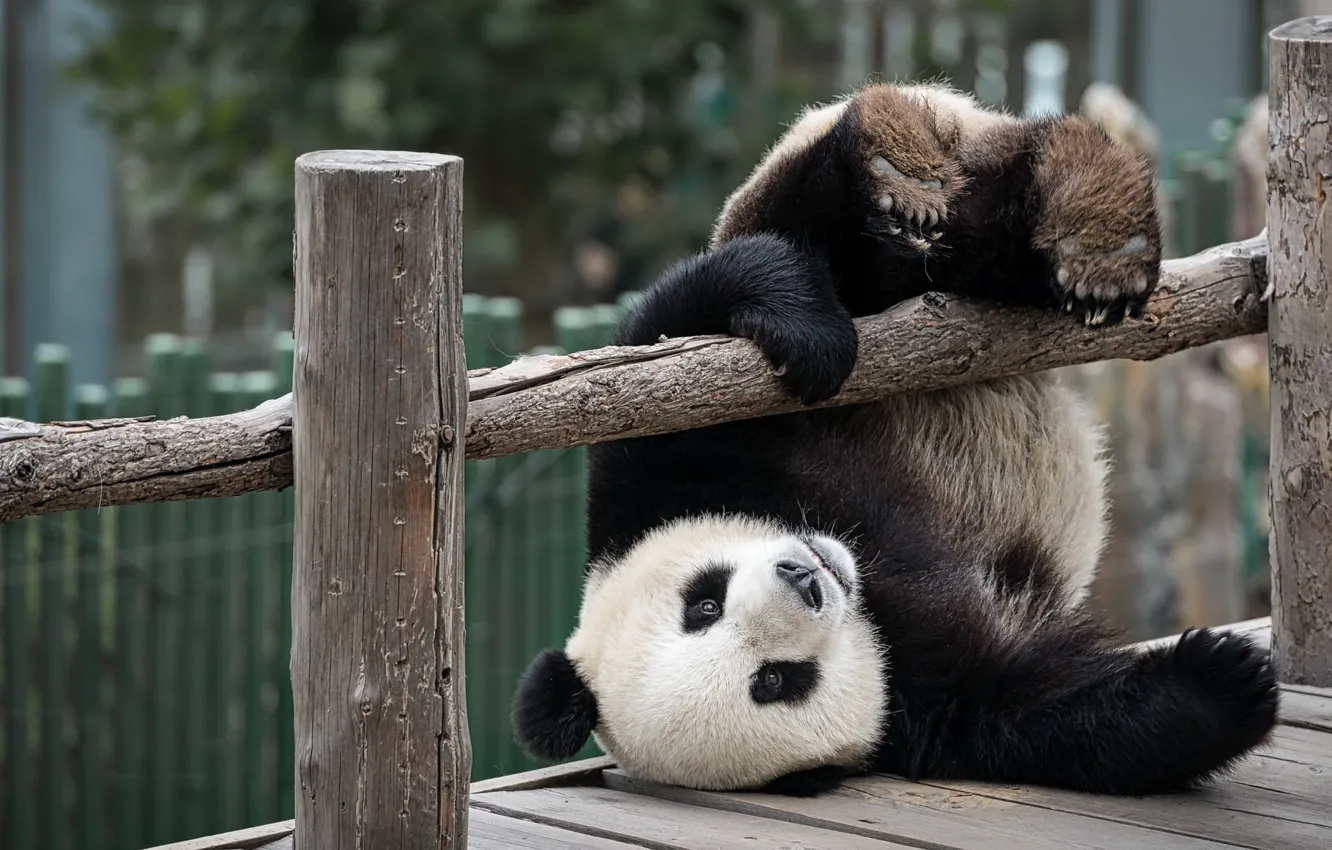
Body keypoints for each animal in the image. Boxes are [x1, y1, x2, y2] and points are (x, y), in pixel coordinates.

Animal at [510, 81, 1279, 799]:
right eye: (775, 681)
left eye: (703, 601)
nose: (804, 578)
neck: (865, 578)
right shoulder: (923, 707)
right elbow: (1044, 713)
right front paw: (1225, 682)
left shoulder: (652, 470)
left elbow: (682, 321)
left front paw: (810, 338)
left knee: (853, 227)